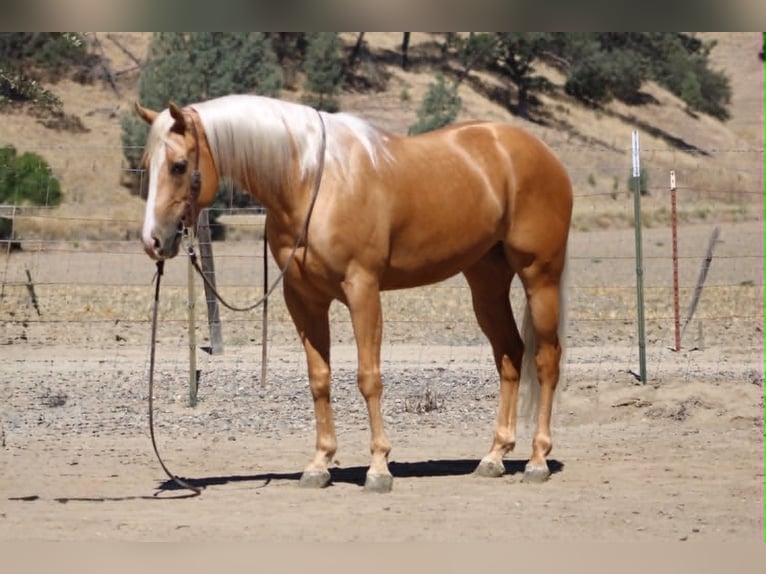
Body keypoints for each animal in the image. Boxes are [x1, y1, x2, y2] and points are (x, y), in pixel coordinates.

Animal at [135, 94, 572, 492]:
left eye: (178, 166)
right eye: (149, 165)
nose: (153, 241)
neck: (310, 182)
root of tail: (543, 154)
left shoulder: (362, 289)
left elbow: (369, 377)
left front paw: (378, 468)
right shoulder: (304, 299)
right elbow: (319, 378)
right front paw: (319, 464)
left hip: (540, 276)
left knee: (546, 359)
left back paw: (537, 460)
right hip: (485, 282)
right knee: (510, 354)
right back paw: (495, 456)